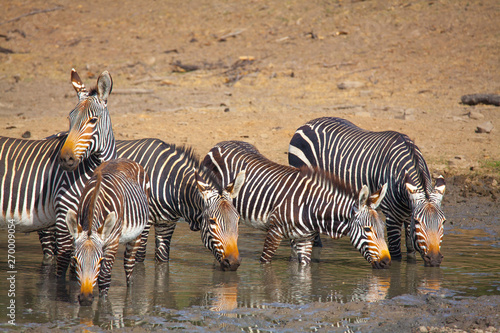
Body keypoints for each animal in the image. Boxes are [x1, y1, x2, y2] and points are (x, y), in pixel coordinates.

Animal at [65, 157, 150, 304]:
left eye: (99, 261)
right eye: (76, 260)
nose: (85, 299)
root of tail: (124, 159)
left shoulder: (112, 242)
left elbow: (104, 278)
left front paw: (103, 304)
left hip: (137, 234)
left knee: (129, 267)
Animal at [115, 137, 244, 270]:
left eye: (238, 220)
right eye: (212, 221)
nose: (233, 263)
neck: (170, 184)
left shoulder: (167, 225)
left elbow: (163, 260)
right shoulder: (143, 225)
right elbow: (139, 260)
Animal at [202, 140, 390, 268]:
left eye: (382, 227)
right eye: (367, 230)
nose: (386, 262)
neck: (312, 207)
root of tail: (220, 144)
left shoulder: (305, 239)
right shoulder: (274, 232)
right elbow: (265, 265)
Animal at [288, 116, 448, 264]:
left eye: (443, 222)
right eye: (418, 221)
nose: (434, 259)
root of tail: (308, 123)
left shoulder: (408, 215)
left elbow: (411, 252)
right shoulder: (392, 217)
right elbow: (396, 256)